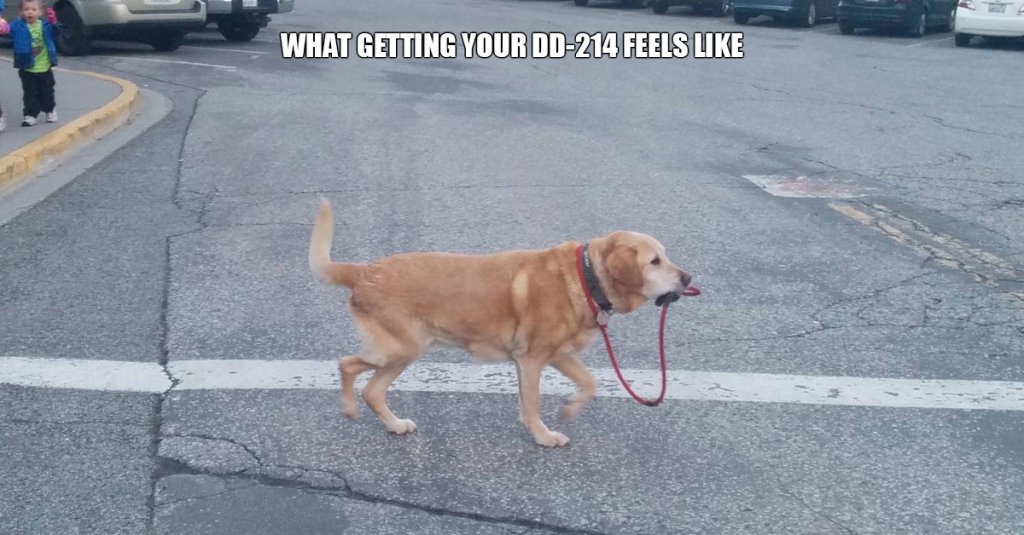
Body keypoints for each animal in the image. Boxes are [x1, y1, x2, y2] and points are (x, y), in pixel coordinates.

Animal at [308, 199, 692, 447]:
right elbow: (533, 404)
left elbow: (589, 383)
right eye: (655, 261)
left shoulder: (558, 356)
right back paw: (349, 408)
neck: (586, 276)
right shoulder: (532, 359)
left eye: (665, 257)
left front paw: (568, 409)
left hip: (405, 353)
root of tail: (363, 272)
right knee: (347, 366)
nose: (688, 278)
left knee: (372, 390)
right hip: (400, 349)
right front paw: (543, 436)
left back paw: (394, 424)